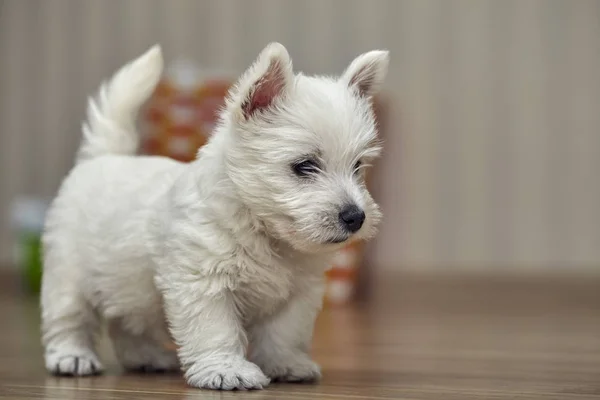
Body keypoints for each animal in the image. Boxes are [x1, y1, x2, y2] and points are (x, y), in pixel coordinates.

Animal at [42, 43, 390, 390]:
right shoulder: (204, 283)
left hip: (126, 287)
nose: (356, 216)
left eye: (357, 166)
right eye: (304, 165)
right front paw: (226, 370)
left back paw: (147, 357)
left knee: (126, 323)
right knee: (69, 318)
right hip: (68, 276)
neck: (260, 228)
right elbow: (216, 330)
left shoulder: (296, 294)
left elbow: (284, 334)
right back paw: (72, 357)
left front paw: (286, 364)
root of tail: (103, 158)